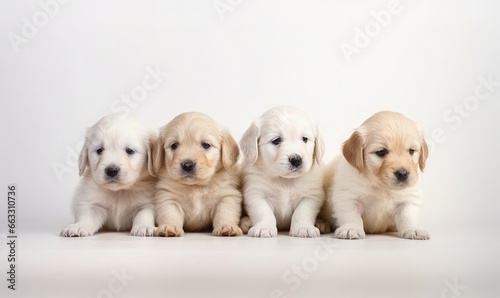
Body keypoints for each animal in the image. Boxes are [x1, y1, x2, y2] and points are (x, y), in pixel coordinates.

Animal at [240, 106, 326, 237]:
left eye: (305, 139)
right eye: (276, 140)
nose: (296, 159)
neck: (284, 180)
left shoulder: (311, 195)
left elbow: (302, 212)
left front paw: (303, 227)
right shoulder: (256, 193)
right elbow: (263, 212)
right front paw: (264, 227)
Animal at [324, 111, 430, 240]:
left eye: (411, 151)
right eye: (381, 152)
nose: (403, 174)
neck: (381, 187)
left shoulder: (409, 199)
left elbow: (408, 216)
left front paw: (413, 229)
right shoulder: (347, 196)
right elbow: (351, 214)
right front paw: (351, 228)